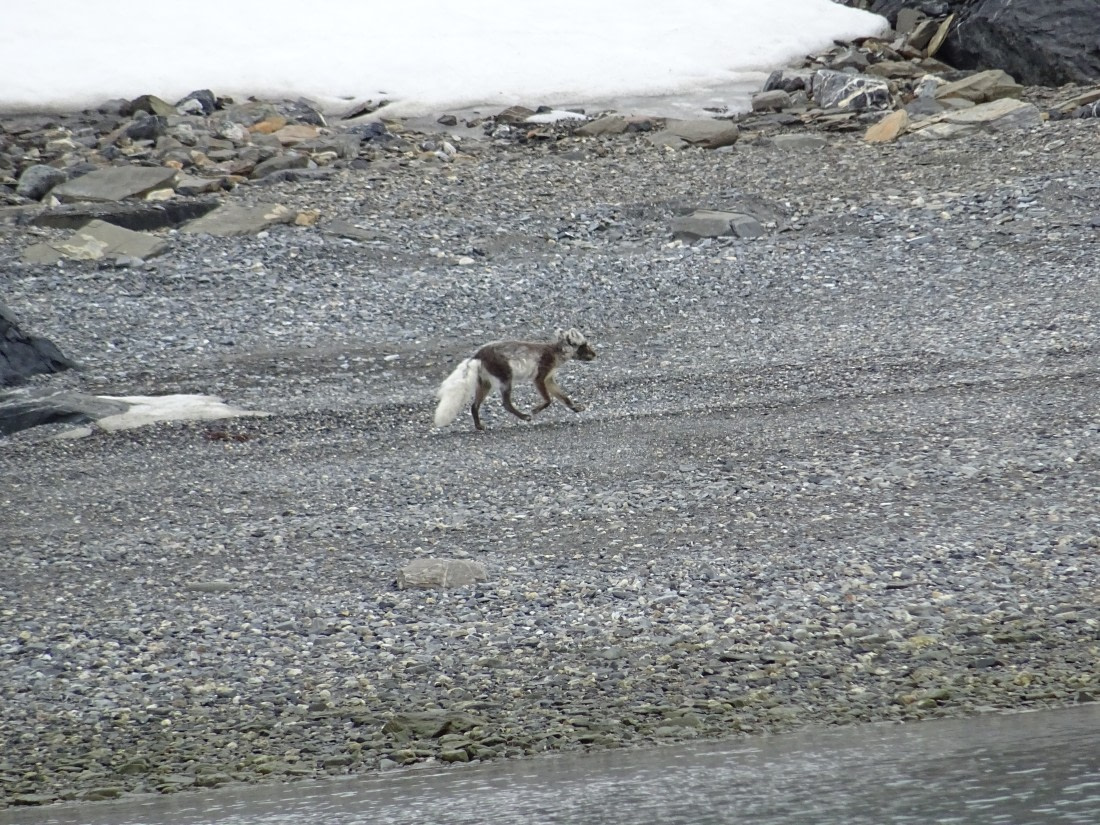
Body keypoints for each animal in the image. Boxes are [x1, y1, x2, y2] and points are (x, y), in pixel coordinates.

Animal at [433, 328, 597, 431]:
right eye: (584, 346)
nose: (595, 354)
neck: (556, 352)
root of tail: (477, 356)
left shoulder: (549, 379)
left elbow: (564, 397)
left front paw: (576, 408)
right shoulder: (540, 377)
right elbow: (548, 400)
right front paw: (534, 410)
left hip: (485, 383)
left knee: (474, 406)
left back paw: (479, 427)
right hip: (506, 378)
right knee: (506, 404)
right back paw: (524, 417)